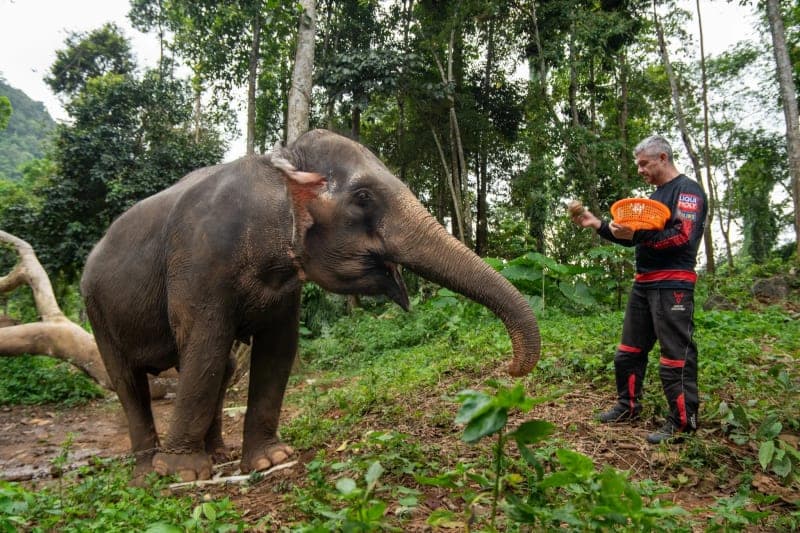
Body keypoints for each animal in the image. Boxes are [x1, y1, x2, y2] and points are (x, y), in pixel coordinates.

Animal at [81, 129, 541, 481]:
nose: (511, 368)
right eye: (363, 197)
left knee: (219, 366)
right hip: (96, 309)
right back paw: (150, 472)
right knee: (130, 379)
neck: (279, 162)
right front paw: (182, 474)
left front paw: (271, 460)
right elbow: (206, 343)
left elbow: (277, 350)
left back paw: (217, 455)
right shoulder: (198, 262)